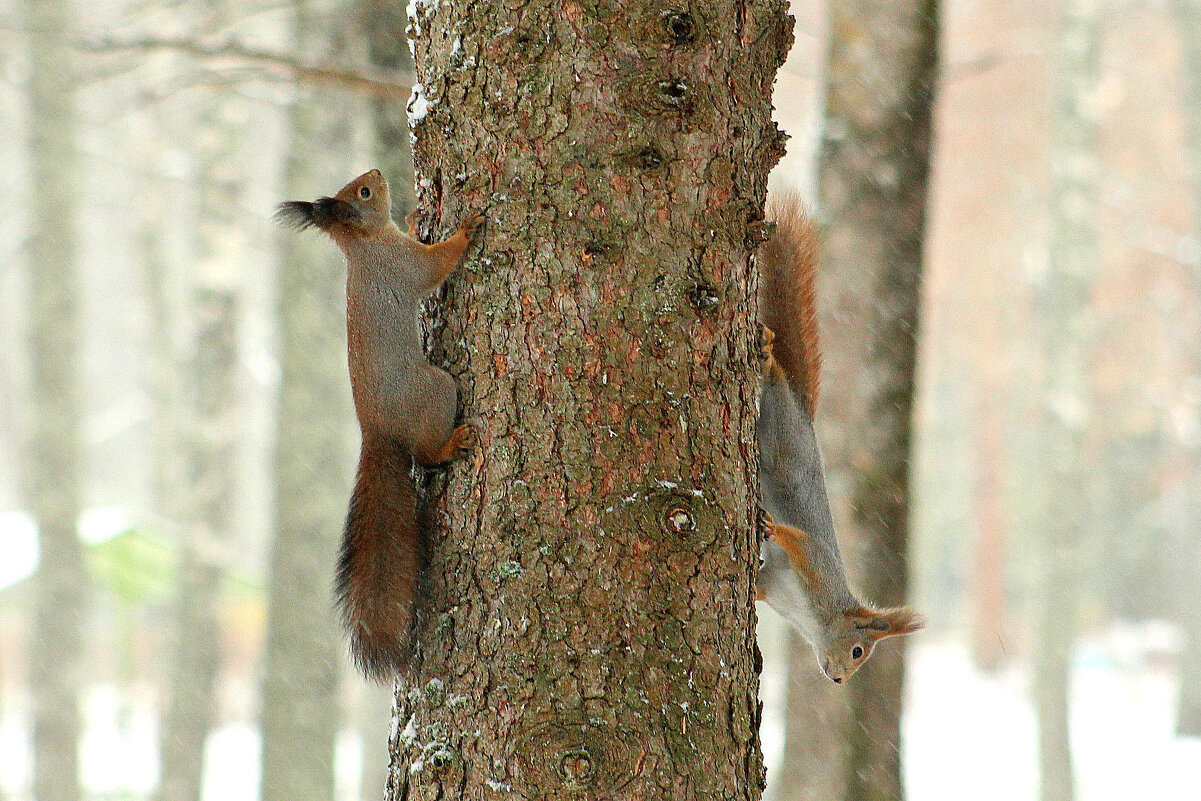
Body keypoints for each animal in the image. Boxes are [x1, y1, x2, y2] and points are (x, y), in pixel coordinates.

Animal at [276, 170, 482, 682]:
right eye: (365, 193)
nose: (376, 173)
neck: (365, 243)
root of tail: (376, 432)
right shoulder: (401, 265)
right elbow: (434, 267)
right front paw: (465, 230)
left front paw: (415, 215)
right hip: (436, 390)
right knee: (426, 453)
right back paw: (452, 443)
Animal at [754, 194, 922, 682]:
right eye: (859, 650)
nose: (839, 679)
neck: (812, 619)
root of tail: (803, 411)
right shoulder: (818, 566)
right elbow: (799, 540)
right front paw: (773, 527)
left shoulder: (773, 588)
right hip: (782, 433)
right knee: (774, 378)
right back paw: (767, 355)